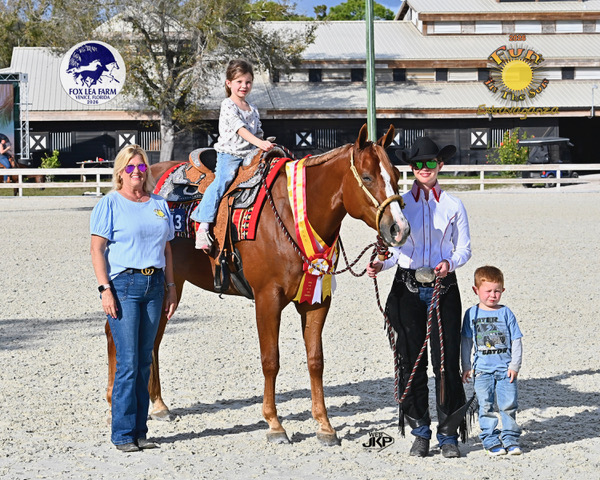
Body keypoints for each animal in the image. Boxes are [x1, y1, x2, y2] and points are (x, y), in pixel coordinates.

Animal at [105, 123, 411, 445]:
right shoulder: (268, 299)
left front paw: (325, 426)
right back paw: (114, 400)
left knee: (152, 340)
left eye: (394, 174)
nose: (399, 228)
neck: (291, 214)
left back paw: (159, 405)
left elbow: (316, 360)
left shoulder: (317, 300)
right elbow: (270, 360)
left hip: (167, 289)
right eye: (367, 176)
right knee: (117, 335)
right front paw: (275, 424)